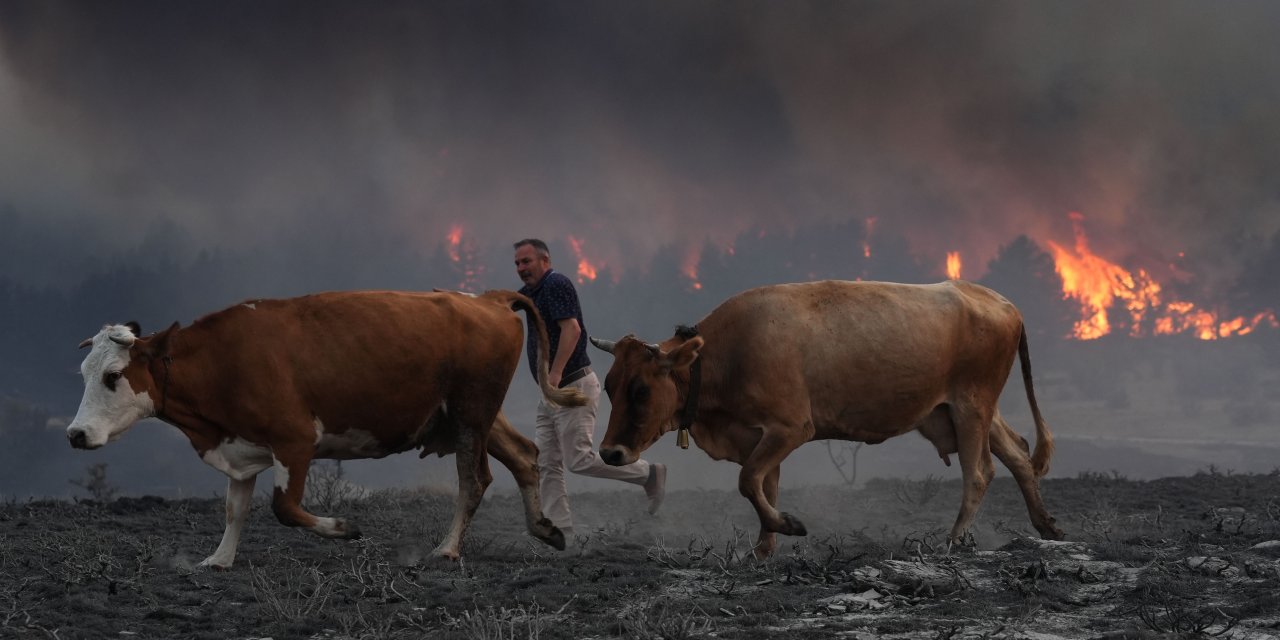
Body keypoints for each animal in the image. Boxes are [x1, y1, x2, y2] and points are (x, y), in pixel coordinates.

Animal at [70, 288, 586, 568]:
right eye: (83, 373)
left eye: (112, 376)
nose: (75, 434)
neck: (223, 360)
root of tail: (487, 298)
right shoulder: (241, 445)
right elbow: (235, 509)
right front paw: (219, 559)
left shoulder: (295, 440)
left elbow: (284, 508)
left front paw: (344, 528)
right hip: (472, 417)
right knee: (524, 455)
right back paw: (545, 528)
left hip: (471, 415)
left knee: (474, 479)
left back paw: (447, 549)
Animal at [593, 280, 1064, 555]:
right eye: (609, 386)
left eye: (641, 389)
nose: (610, 452)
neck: (726, 354)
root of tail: (1002, 302)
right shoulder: (760, 437)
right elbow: (764, 486)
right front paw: (763, 549)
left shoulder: (790, 428)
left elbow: (748, 482)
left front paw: (788, 525)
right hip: (966, 410)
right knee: (1020, 456)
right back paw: (1047, 526)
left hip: (971, 406)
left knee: (981, 472)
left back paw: (953, 540)